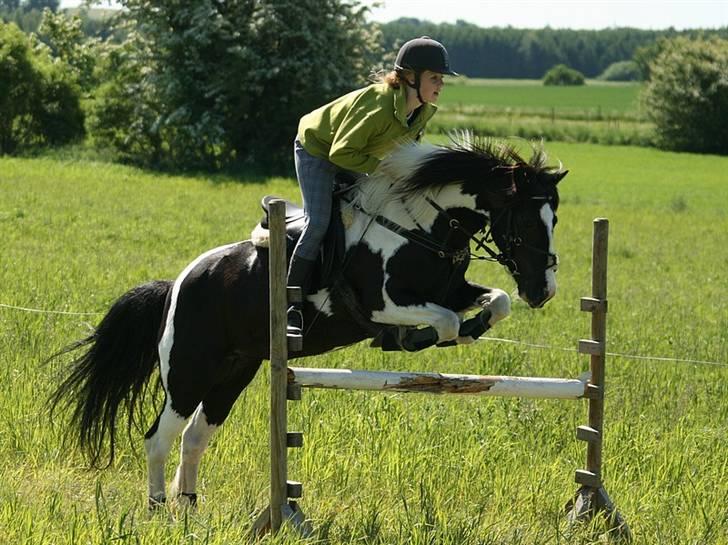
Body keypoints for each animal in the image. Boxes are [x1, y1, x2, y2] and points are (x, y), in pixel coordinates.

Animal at [48, 135, 564, 506]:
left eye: (554, 219)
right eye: (524, 222)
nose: (542, 291)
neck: (424, 225)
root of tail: (177, 284)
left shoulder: (452, 289)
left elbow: (495, 302)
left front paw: (476, 327)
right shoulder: (382, 303)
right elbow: (445, 322)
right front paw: (415, 339)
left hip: (234, 372)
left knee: (194, 438)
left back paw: (190, 507)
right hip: (188, 373)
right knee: (159, 438)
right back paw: (159, 511)